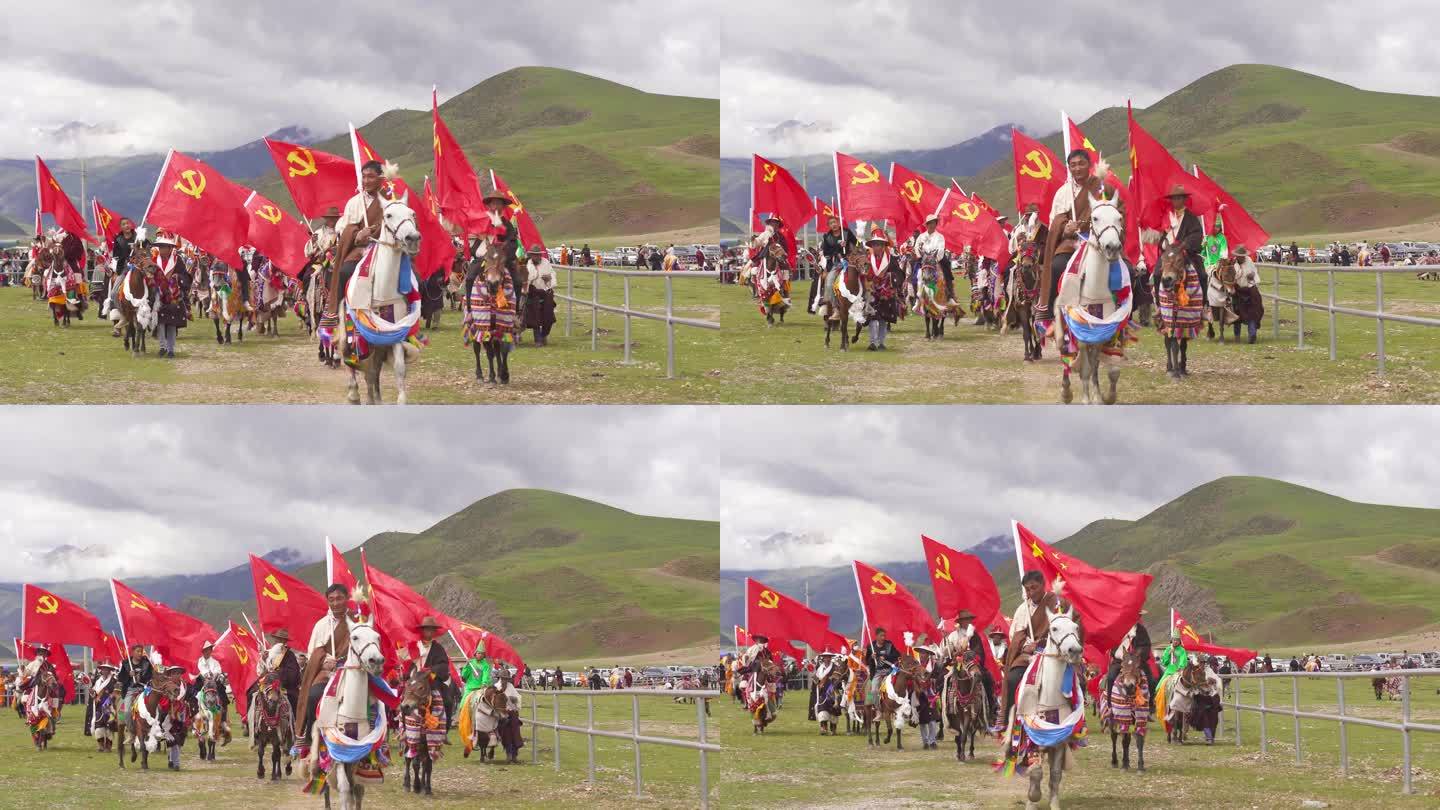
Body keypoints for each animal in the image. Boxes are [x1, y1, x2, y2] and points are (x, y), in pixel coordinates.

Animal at [306, 616, 388, 807]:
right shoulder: (340, 755)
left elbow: (356, 789)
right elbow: (344, 789)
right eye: (355, 637)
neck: (352, 711)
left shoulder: (358, 756)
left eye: (378, 637)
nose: (376, 661)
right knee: (326, 785)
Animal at [344, 196, 420, 403]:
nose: (413, 239)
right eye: (389, 215)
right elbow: (366, 370)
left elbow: (398, 370)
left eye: (412, 214)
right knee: (350, 362)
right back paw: (354, 394)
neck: (382, 291)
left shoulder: (393, 333)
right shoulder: (364, 338)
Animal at [1008, 602, 1082, 807]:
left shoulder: (1059, 742)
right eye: (1054, 628)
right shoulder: (1032, 741)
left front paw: (1054, 804)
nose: (1074, 650)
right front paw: (1032, 800)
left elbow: (1055, 775)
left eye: (1076, 627)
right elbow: (1035, 772)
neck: (1049, 700)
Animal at [1054, 190, 1128, 403]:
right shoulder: (1081, 331)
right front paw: (1087, 399)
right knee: (1064, 352)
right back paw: (1066, 391)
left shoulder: (1106, 329)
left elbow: (1105, 367)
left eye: (1119, 217)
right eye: (1095, 218)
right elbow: (1086, 367)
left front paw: (1102, 396)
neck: (1095, 289)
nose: (1112, 247)